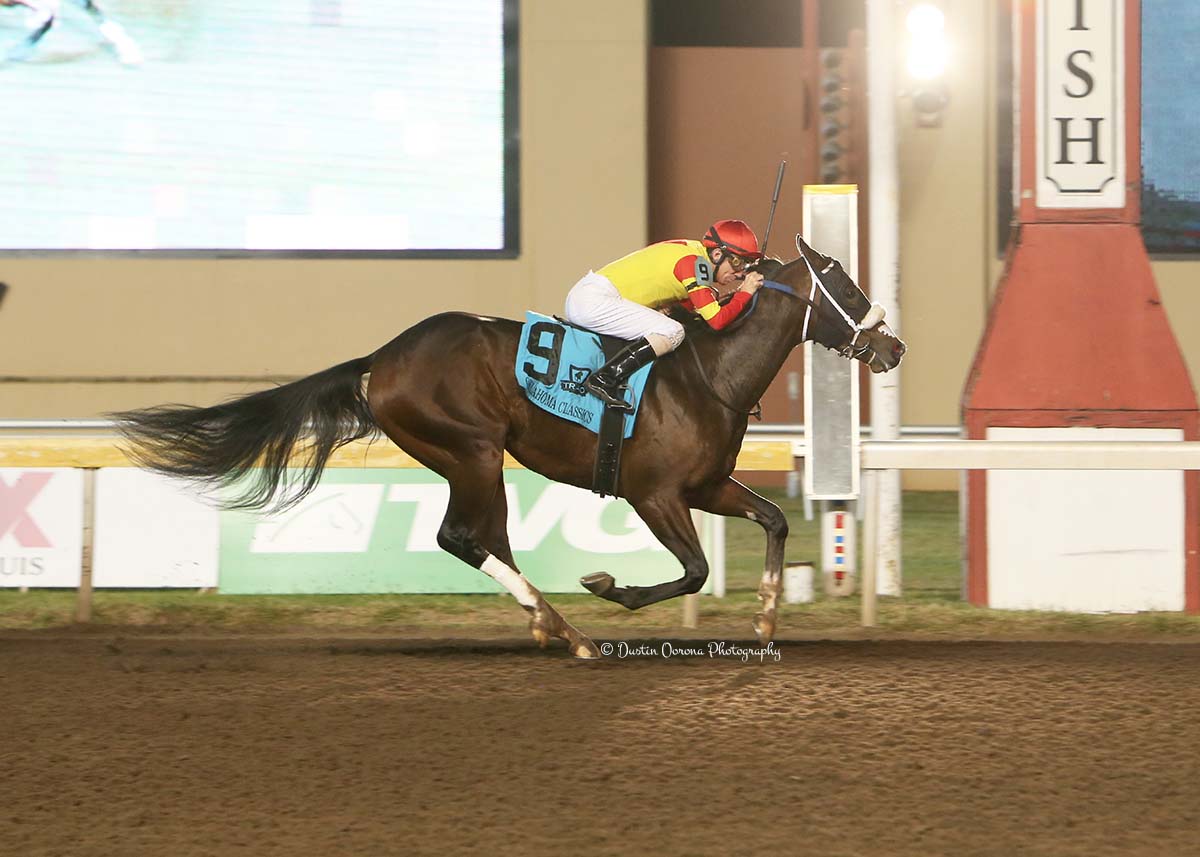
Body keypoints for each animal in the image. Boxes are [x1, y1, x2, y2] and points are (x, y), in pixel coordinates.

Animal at [111, 235, 906, 658]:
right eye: (841, 280)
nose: (892, 345)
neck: (709, 374)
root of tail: (383, 357)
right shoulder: (653, 493)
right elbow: (694, 570)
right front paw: (610, 586)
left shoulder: (704, 485)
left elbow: (771, 520)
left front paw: (768, 614)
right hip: (472, 450)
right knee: (461, 535)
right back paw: (568, 627)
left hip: (473, 459)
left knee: (484, 539)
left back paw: (553, 624)